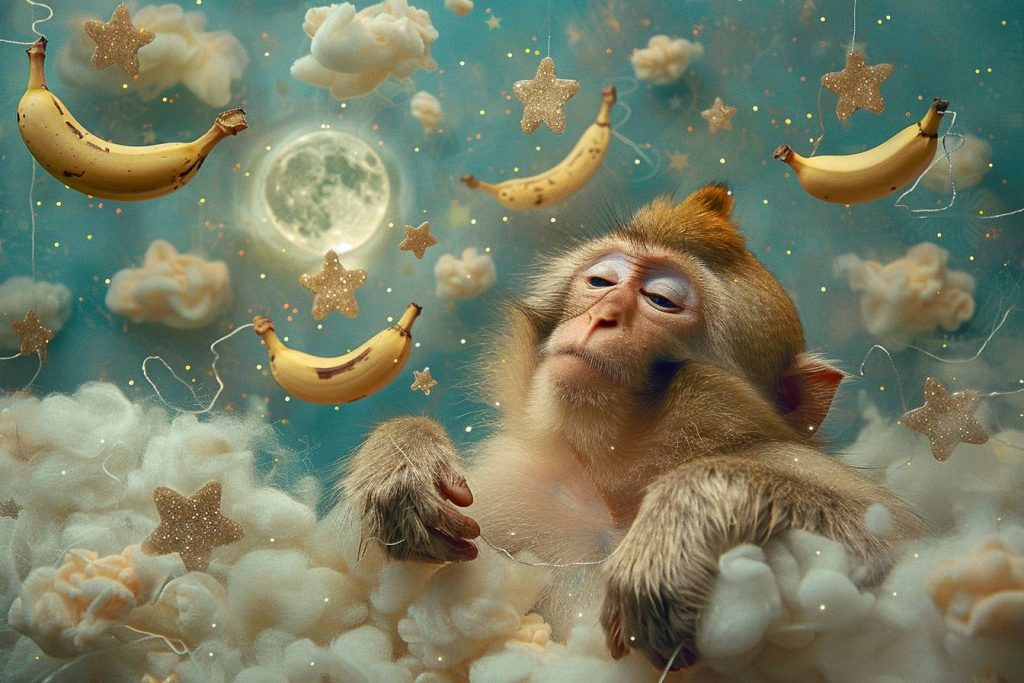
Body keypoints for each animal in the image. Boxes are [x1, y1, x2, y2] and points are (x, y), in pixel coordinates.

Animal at [340, 184, 922, 671]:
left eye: (662, 300)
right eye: (601, 281)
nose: (602, 316)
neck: (615, 489)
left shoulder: (784, 458)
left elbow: (903, 553)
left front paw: (679, 525)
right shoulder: (513, 485)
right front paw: (404, 457)